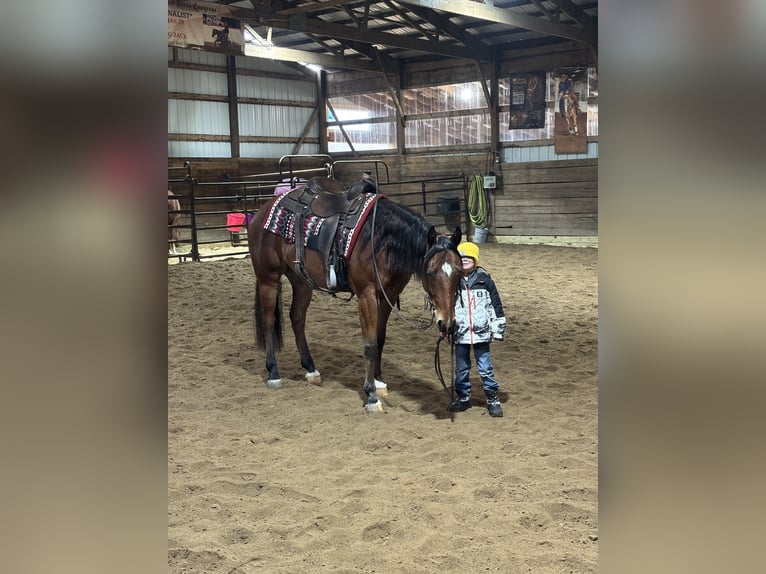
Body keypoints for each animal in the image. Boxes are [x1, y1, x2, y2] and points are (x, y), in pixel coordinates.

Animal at [247, 176, 463, 414]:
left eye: (460, 272)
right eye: (430, 272)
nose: (447, 323)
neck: (381, 240)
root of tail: (263, 211)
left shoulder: (388, 295)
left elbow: (380, 338)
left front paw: (379, 382)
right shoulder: (367, 295)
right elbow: (369, 344)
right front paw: (370, 395)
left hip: (301, 281)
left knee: (297, 317)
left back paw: (310, 369)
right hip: (268, 278)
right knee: (269, 320)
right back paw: (273, 373)